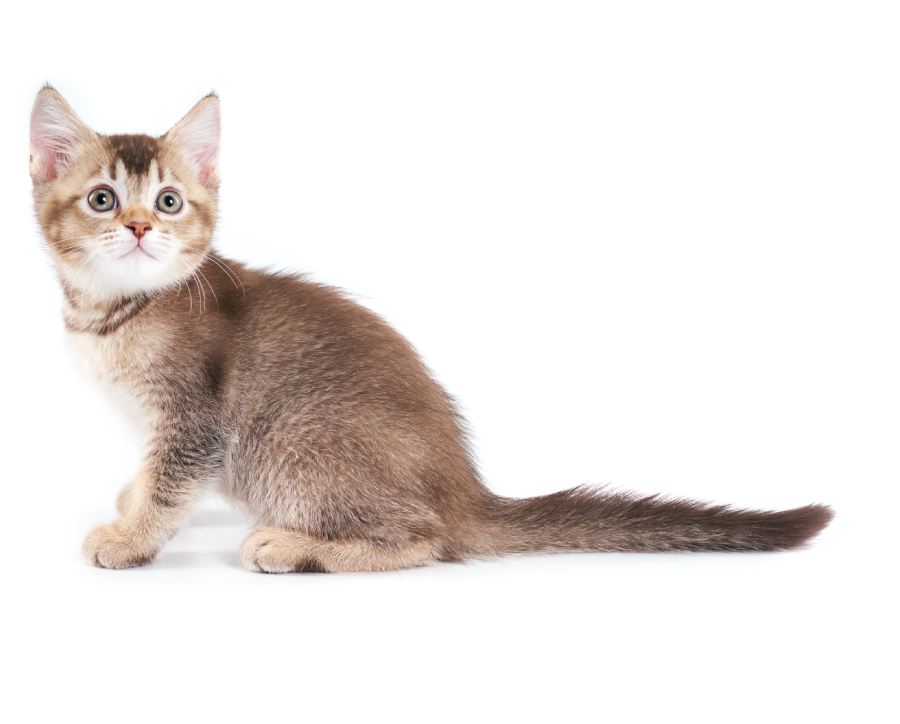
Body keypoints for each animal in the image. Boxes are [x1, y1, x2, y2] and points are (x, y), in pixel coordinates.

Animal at [31, 86, 832, 572]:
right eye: (103, 199)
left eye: (168, 201)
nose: (140, 227)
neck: (109, 313)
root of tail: (464, 490)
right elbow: (151, 475)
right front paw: (131, 503)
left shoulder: (194, 420)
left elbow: (171, 485)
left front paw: (131, 539)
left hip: (292, 446)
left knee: (426, 539)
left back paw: (295, 547)